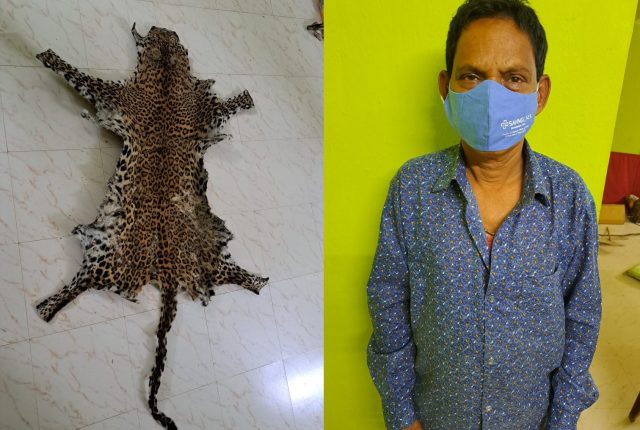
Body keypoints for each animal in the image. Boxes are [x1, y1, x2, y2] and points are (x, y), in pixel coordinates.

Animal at [33, 23, 268, 430]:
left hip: (104, 253)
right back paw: (257, 278)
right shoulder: (204, 110)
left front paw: (47, 54)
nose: (164, 29)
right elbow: (230, 105)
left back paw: (48, 305)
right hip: (210, 255)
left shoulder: (114, 94)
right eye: (175, 42)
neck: (167, 79)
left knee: (80, 281)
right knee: (233, 273)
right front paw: (247, 97)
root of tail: (170, 272)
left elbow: (76, 74)